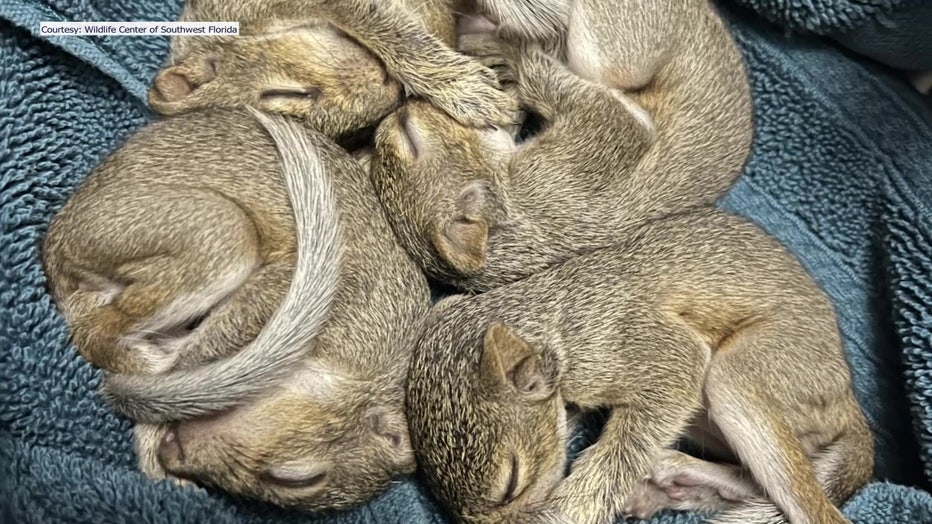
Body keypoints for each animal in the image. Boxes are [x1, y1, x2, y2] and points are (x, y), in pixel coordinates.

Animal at [368, 0, 752, 290]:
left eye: (406, 133)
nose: (400, 109)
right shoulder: (563, 177)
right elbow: (615, 116)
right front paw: (508, 50)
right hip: (620, 51)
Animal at [406, 208, 872, 524]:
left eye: (511, 483)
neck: (554, 320)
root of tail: (848, 402)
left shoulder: (637, 345)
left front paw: (565, 511)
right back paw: (674, 479)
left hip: (741, 377)